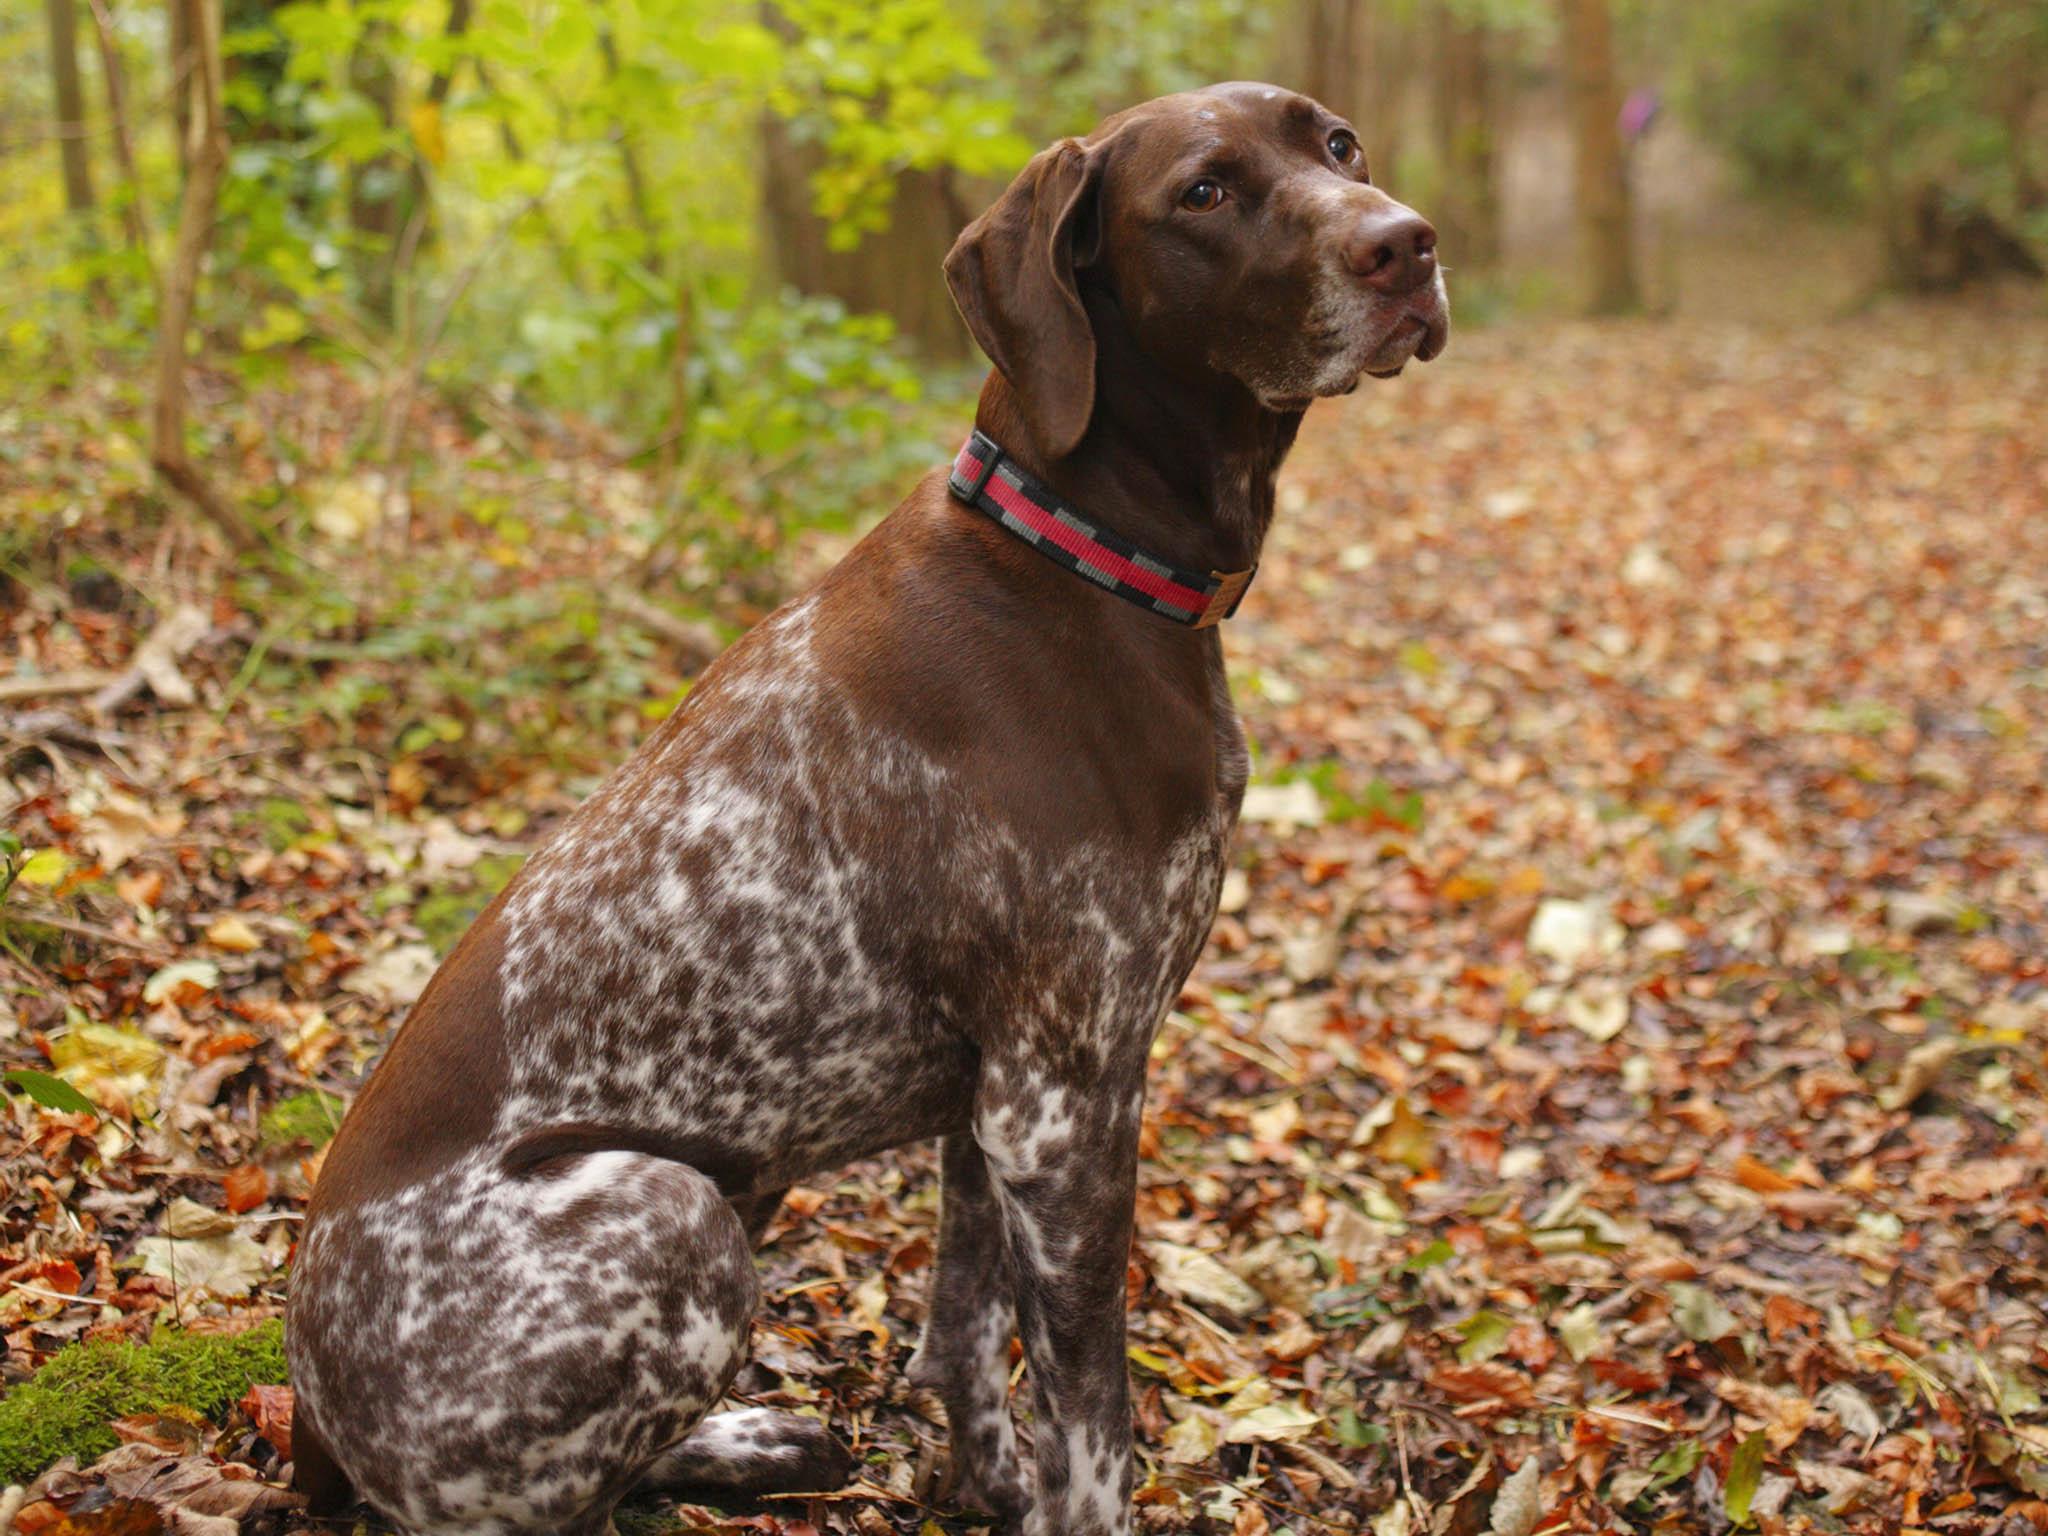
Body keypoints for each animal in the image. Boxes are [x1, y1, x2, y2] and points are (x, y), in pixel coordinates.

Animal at [284, 83, 1441, 1536]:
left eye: (1336, 145)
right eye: (1205, 193)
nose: (1408, 244)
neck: (1080, 560)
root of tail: (308, 1420)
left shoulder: (995, 1111)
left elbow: (963, 1329)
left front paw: (982, 1485)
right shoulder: (1063, 1103)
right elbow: (1093, 1420)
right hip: (671, 1213)